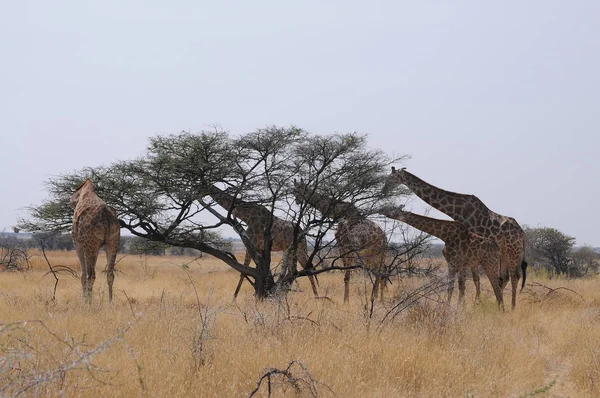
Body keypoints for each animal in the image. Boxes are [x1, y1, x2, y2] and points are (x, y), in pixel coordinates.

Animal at [382, 166, 528, 310]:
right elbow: (474, 279)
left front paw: (474, 305)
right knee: (504, 277)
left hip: (512, 251)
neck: (458, 210)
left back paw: (512, 307)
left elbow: (471, 280)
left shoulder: (469, 250)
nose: (383, 191)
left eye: (391, 178)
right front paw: (476, 304)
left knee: (514, 277)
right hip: (504, 253)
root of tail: (522, 234)